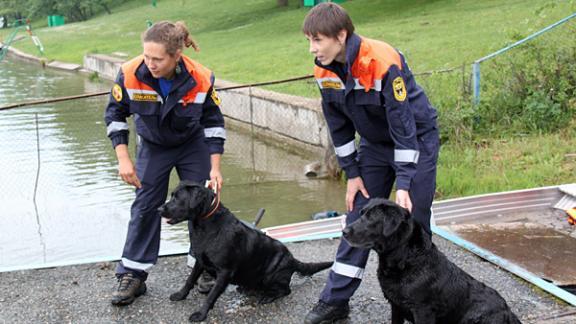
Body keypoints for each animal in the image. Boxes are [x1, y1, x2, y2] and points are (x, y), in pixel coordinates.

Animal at [158, 181, 332, 322]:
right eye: (172, 195)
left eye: (177, 198)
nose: (159, 209)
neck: (206, 225)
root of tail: (292, 258)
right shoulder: (200, 261)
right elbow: (190, 279)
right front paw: (180, 295)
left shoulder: (225, 271)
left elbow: (211, 295)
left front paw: (200, 314)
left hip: (271, 274)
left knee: (285, 290)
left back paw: (268, 296)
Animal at [344, 197, 524, 324]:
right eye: (361, 213)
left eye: (371, 218)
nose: (344, 231)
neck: (407, 260)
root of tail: (508, 312)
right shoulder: (396, 307)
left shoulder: (423, 311)